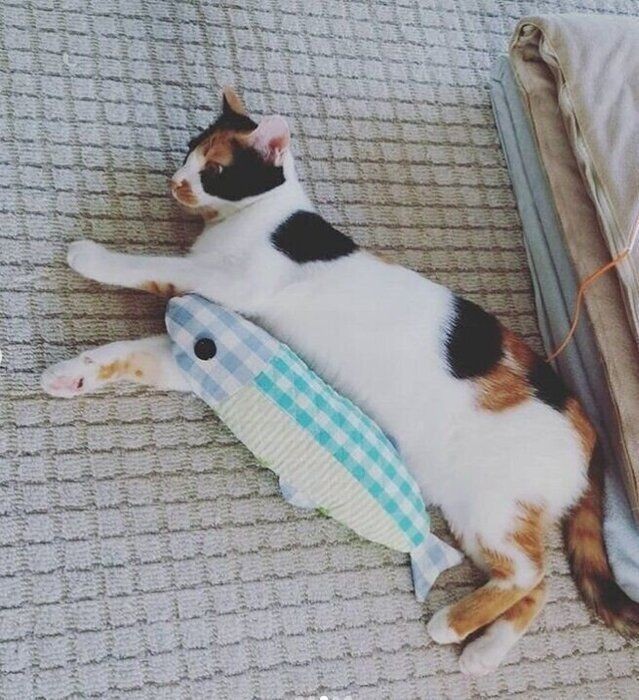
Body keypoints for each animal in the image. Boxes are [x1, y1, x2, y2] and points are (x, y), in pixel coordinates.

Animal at [41, 87, 639, 674]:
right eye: (188, 152)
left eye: (213, 170)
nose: (176, 181)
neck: (259, 219)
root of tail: (586, 421)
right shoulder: (212, 342)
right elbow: (138, 354)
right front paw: (75, 373)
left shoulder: (237, 284)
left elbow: (155, 267)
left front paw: (92, 257)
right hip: (478, 512)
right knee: (537, 585)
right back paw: (483, 651)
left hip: (493, 505)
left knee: (530, 573)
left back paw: (452, 624)